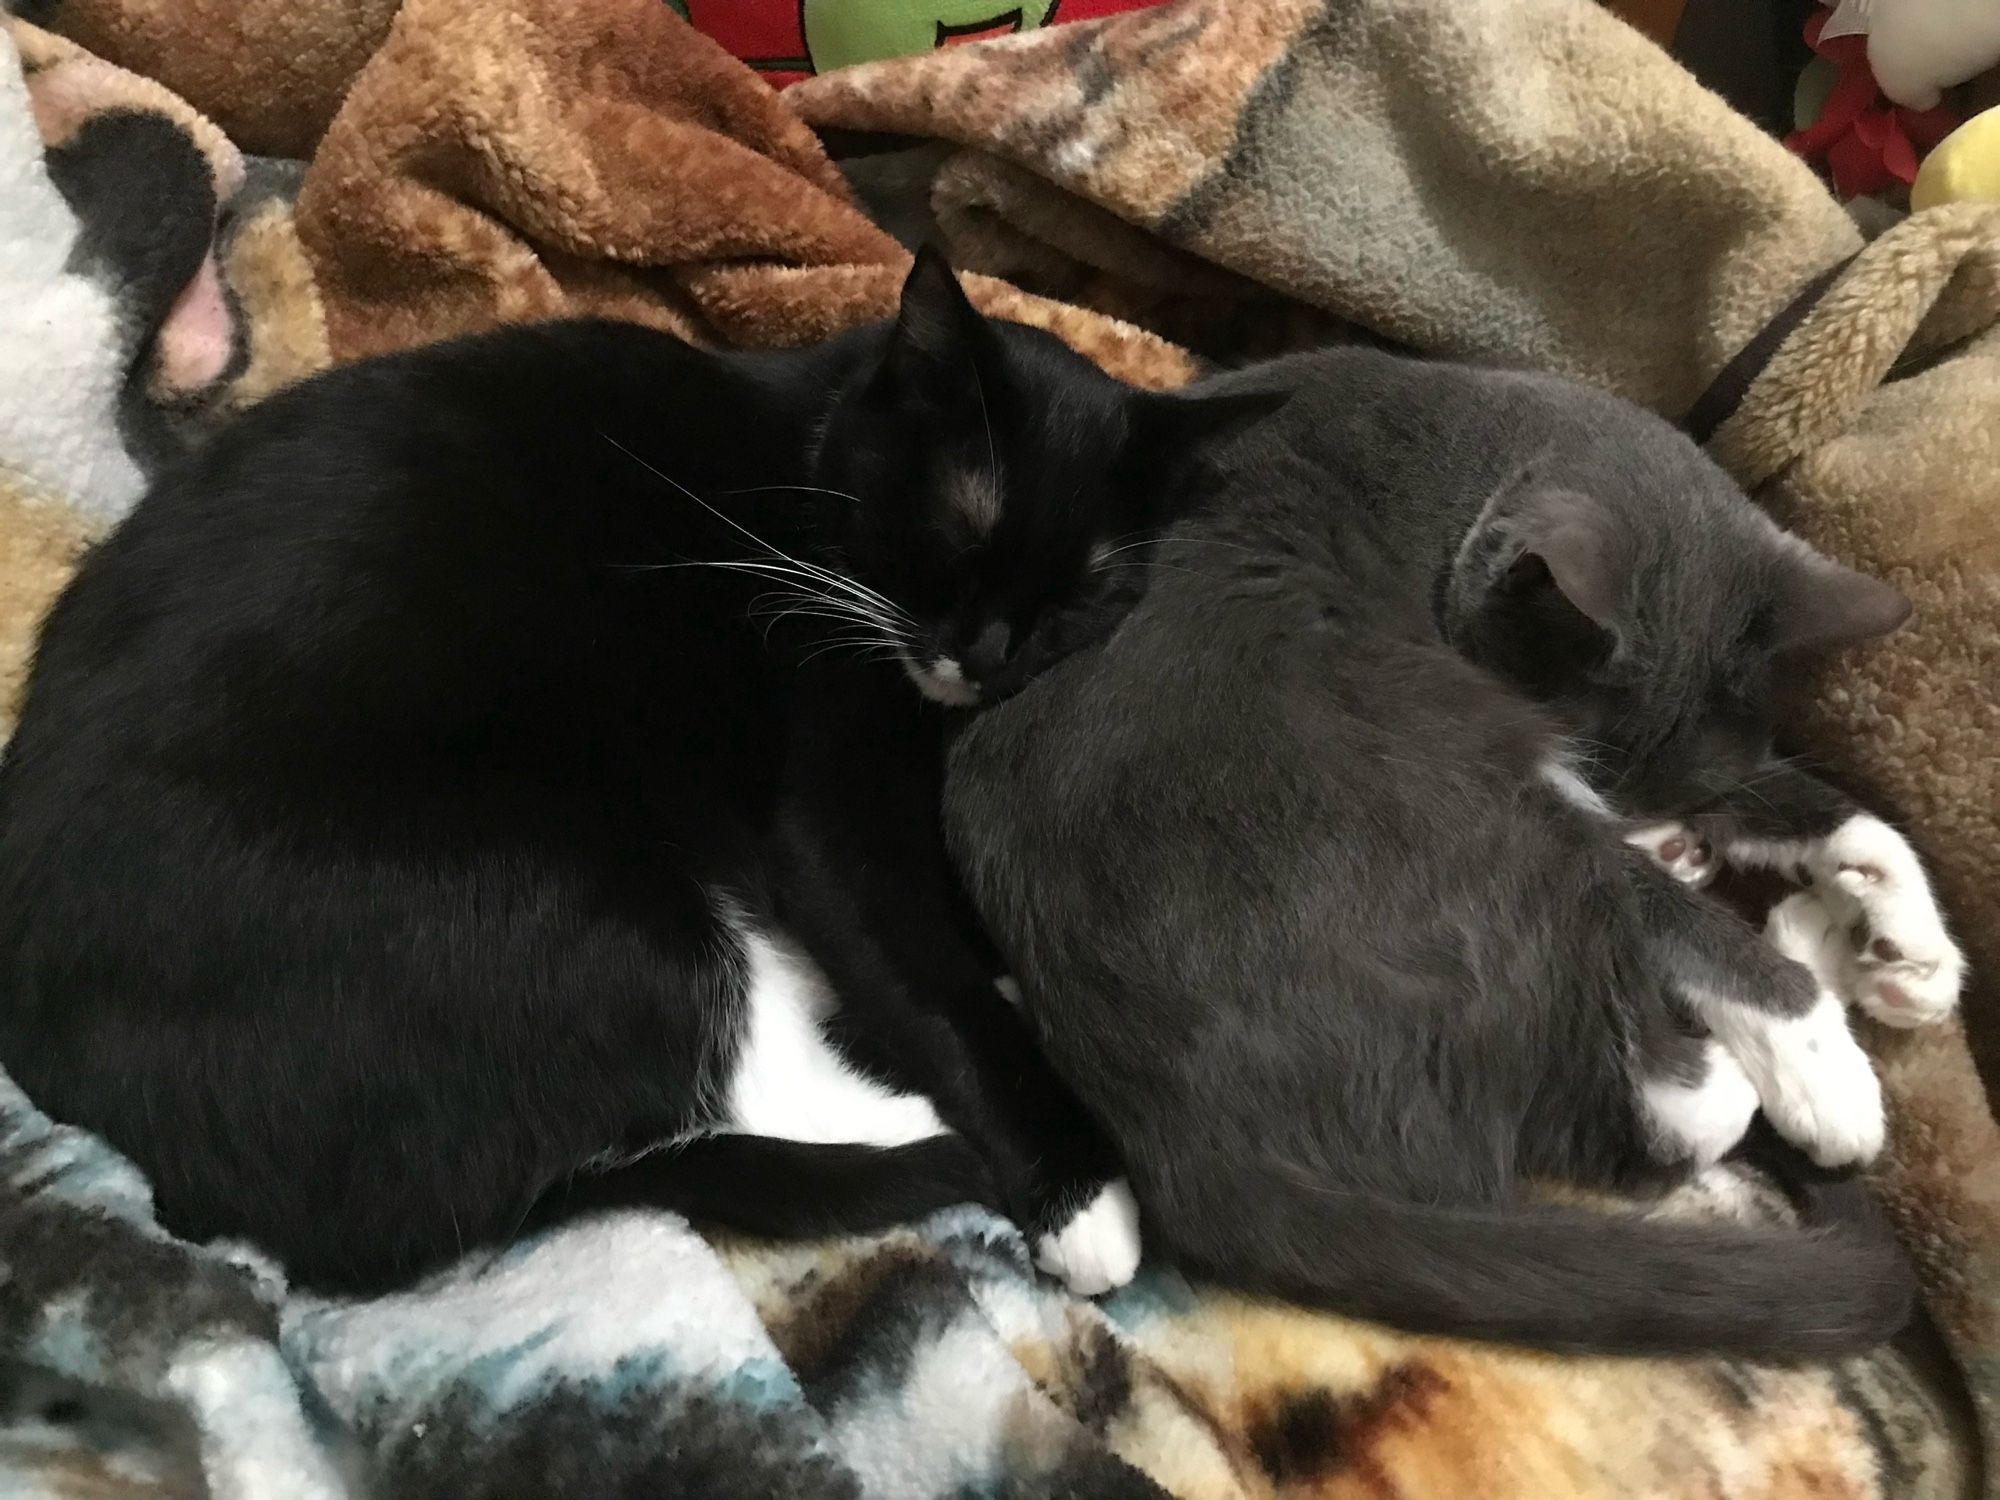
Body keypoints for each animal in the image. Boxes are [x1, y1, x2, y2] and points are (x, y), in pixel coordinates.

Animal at [0, 253, 1256, 1296]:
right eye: (957, 524)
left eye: (1088, 591)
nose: (987, 653)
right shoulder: (825, 795)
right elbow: (927, 979)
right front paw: (1080, 1192)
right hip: (565, 898)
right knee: (721, 1064)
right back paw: (913, 1133)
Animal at [944, 344, 1960, 1360]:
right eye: (1591, 759)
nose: (1654, 825)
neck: (1454, 458)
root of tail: (1179, 1144)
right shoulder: (1549, 779)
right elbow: (1665, 910)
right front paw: (1827, 1068)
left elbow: (1795, 799)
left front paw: (1909, 937)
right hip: (1448, 780)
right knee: (1656, 1108)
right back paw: (1801, 979)